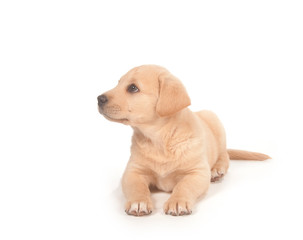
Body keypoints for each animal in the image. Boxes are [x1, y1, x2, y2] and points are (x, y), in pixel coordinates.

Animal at [98, 64, 270, 217]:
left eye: (133, 88)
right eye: (118, 83)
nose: (99, 98)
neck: (160, 140)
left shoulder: (198, 172)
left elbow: (184, 186)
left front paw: (177, 202)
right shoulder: (133, 171)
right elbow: (137, 187)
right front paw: (139, 202)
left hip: (214, 120)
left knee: (224, 156)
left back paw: (216, 170)